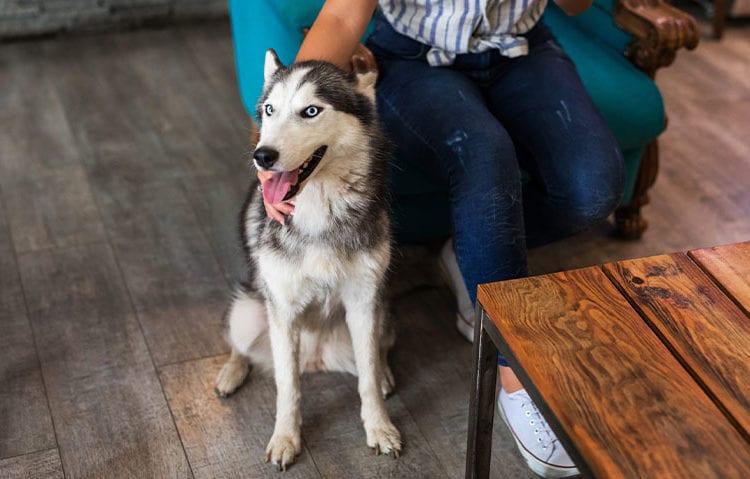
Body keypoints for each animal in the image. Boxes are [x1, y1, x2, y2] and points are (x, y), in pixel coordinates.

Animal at [214, 50, 402, 470]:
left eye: (311, 111)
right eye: (269, 109)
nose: (262, 156)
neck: (319, 209)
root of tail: (316, 360)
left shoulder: (364, 302)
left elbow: (366, 379)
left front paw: (379, 428)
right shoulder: (283, 311)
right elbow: (288, 387)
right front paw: (286, 438)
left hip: (385, 312)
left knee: (377, 353)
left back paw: (385, 373)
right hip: (248, 313)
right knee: (239, 345)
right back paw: (231, 372)